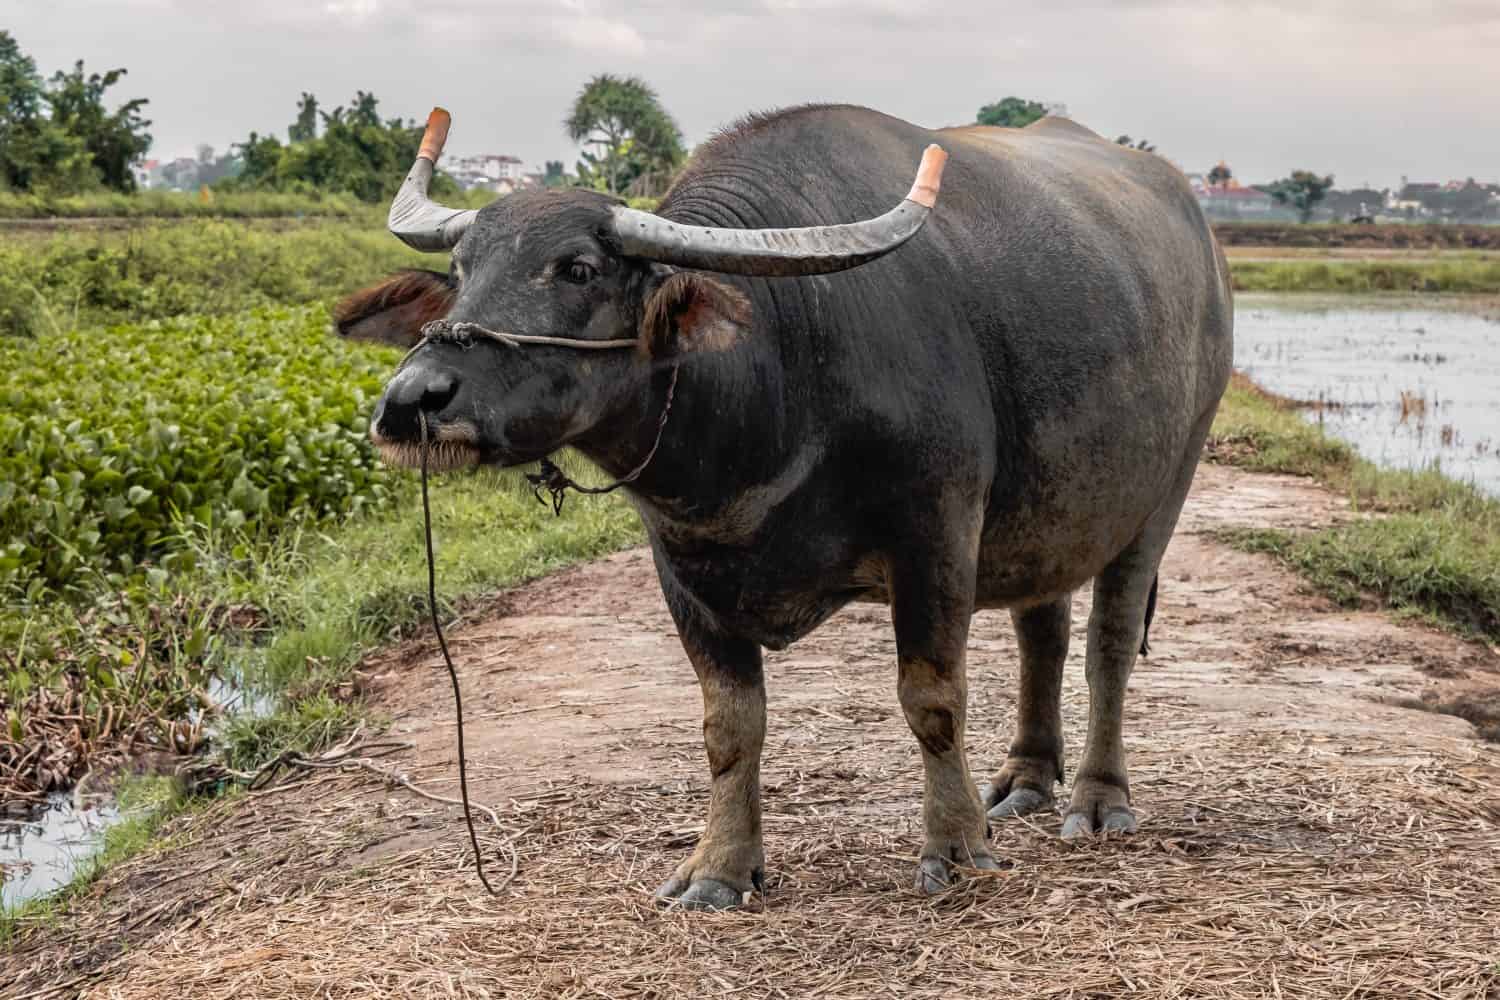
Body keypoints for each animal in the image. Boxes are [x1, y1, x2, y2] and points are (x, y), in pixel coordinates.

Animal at [340, 104, 1233, 909]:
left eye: (579, 268)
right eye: (462, 272)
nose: (414, 400)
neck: (781, 373)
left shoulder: (937, 531)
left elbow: (932, 698)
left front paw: (955, 848)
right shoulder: (680, 564)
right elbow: (730, 725)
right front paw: (720, 869)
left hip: (1170, 480)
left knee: (1109, 641)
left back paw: (1096, 797)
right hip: (1053, 511)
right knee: (1041, 628)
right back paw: (1025, 780)